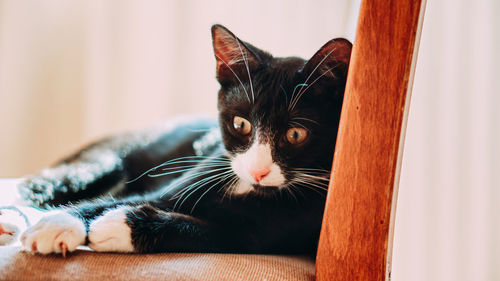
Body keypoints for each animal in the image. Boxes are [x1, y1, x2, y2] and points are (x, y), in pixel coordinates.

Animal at [0, 24, 352, 256]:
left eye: (296, 134)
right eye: (240, 124)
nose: (258, 171)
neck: (249, 191)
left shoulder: (265, 235)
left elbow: (212, 232)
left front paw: (116, 226)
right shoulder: (182, 183)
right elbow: (118, 200)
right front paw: (61, 222)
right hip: (101, 162)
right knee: (42, 184)